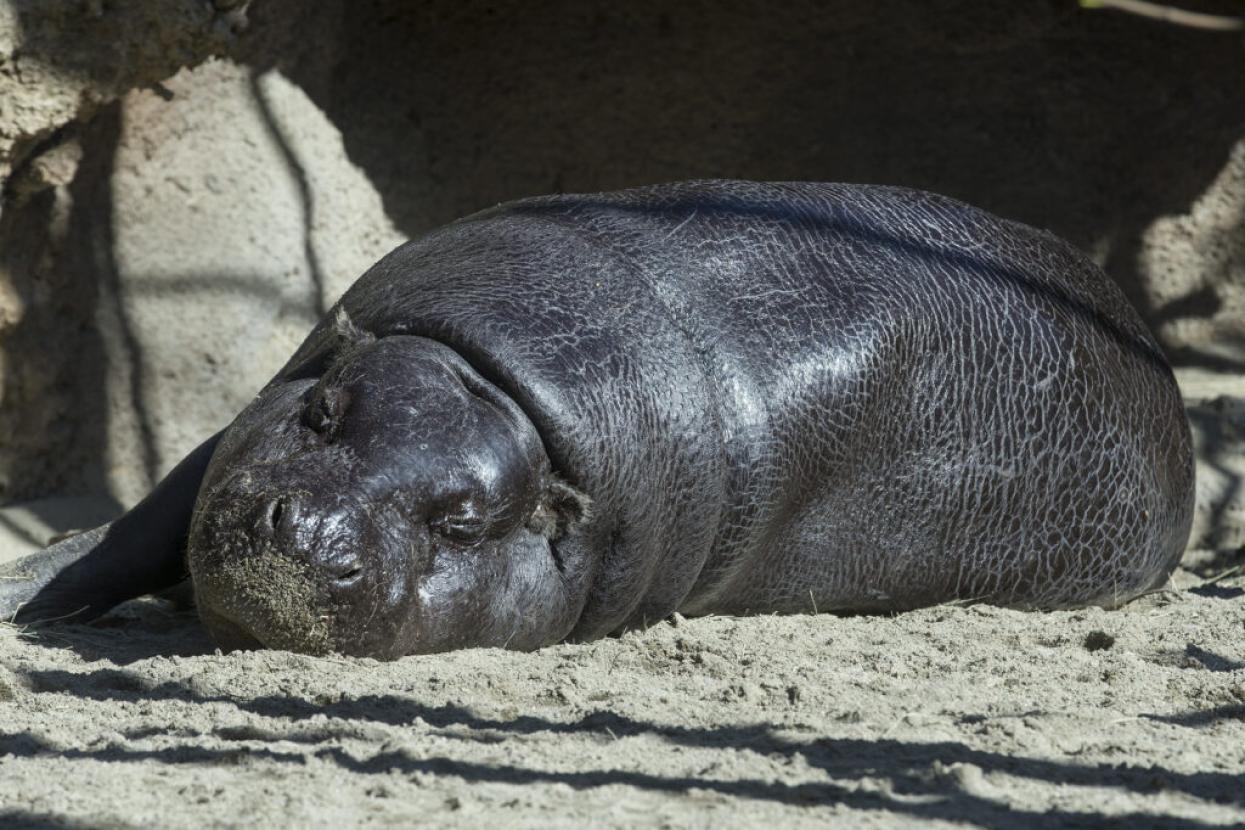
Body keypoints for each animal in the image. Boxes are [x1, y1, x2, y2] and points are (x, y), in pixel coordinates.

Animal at [0, 180, 1195, 658]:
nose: (313, 539)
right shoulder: (262, 412)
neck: (493, 390)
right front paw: (25, 594)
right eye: (327, 413)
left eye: (465, 521)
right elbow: (135, 524)